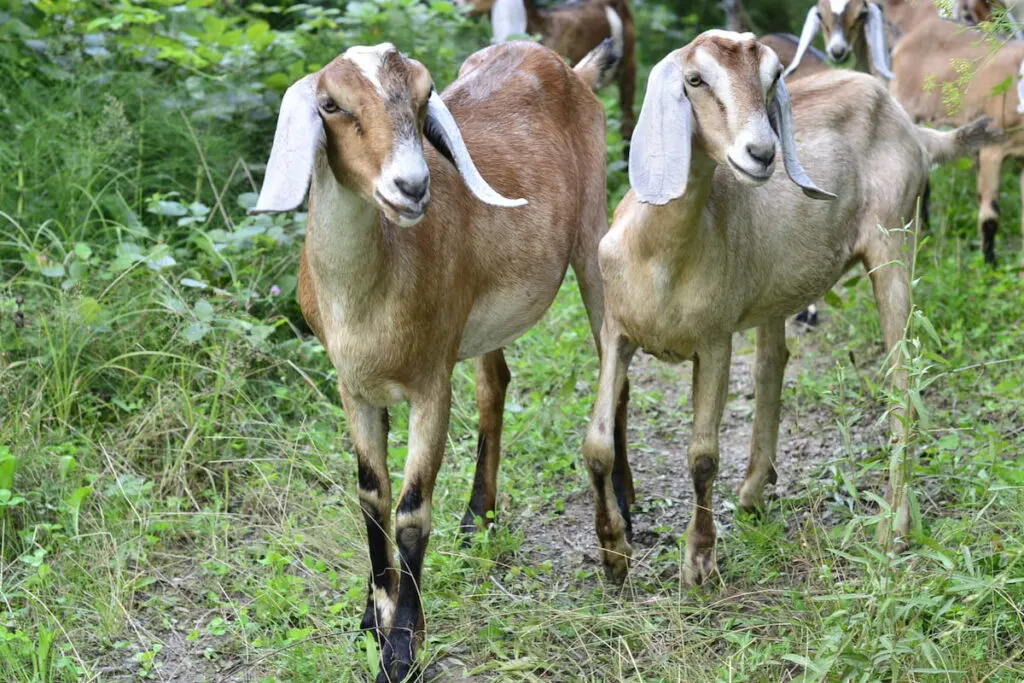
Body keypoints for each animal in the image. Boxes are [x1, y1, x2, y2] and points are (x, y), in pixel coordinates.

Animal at [251, 38, 618, 683]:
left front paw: (401, 651)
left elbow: (411, 512)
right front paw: (372, 617)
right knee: (495, 384)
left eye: (424, 97)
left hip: (592, 236)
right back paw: (478, 520)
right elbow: (371, 499)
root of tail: (568, 67)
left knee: (612, 358)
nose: (412, 186)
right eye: (331, 104)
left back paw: (624, 513)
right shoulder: (353, 387)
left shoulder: (430, 384)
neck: (367, 297)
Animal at [585, 29, 999, 585]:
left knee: (903, 383)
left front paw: (699, 561)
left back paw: (894, 530)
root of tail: (910, 126)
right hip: (777, 291)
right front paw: (614, 554)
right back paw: (754, 491)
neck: (660, 256)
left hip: (895, 241)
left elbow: (702, 456)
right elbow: (598, 445)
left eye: (772, 78)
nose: (762, 153)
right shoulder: (616, 333)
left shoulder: (714, 341)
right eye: (695, 79)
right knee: (772, 365)